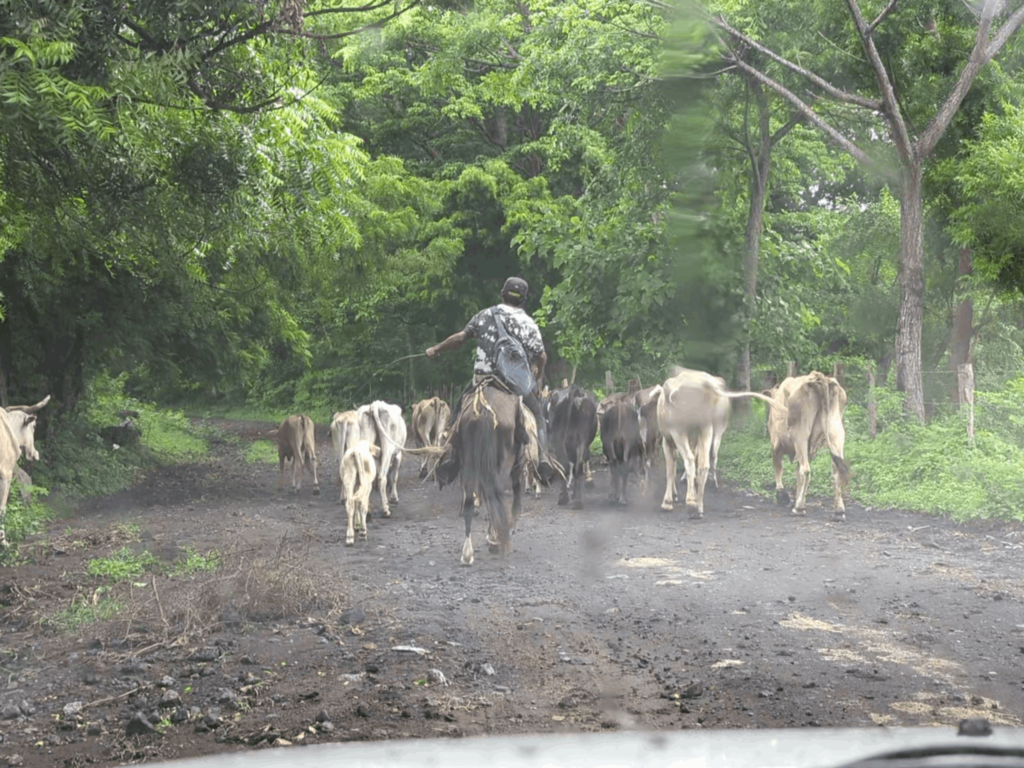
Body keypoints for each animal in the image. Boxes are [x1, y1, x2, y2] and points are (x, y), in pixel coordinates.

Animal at [450, 378, 528, 565]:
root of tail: (484, 410)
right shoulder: (516, 466)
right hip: (503, 466)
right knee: (497, 494)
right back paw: (496, 541)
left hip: (469, 465)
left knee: (470, 502)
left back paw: (467, 553)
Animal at [655, 370, 782, 520]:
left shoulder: (667, 440)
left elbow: (670, 469)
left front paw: (668, 501)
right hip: (708, 428)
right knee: (705, 462)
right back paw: (699, 506)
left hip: (680, 430)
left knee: (690, 460)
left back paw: (691, 504)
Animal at [765, 372, 851, 524]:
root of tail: (820, 377)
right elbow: (798, 475)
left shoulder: (776, 443)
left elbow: (779, 468)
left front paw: (782, 495)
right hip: (837, 432)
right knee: (836, 470)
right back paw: (839, 512)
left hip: (801, 433)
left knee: (805, 470)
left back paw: (799, 508)